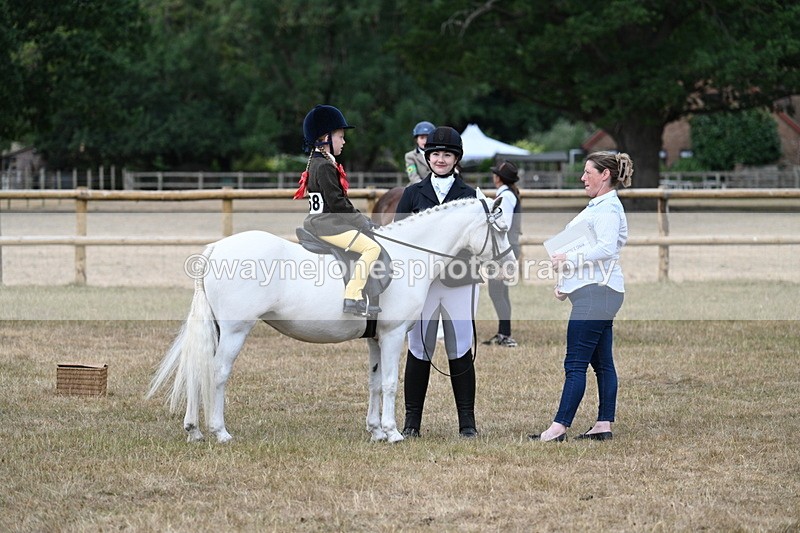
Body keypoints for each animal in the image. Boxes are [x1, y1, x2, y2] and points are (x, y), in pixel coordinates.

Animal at [146, 195, 516, 444]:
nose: (510, 266)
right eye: (500, 229)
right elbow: (390, 383)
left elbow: (374, 382)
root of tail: (215, 251)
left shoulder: (376, 338)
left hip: (218, 329)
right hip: (236, 330)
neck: (409, 254)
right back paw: (220, 432)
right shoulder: (393, 334)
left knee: (199, 370)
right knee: (218, 372)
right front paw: (393, 433)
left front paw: (376, 431)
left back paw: (194, 430)